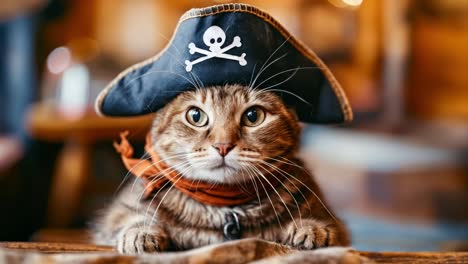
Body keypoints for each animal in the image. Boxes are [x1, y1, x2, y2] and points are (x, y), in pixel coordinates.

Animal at [92, 84, 348, 254]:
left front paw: (311, 229)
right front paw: (141, 233)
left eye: (253, 116)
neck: (227, 208)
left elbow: (328, 227)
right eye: (195, 115)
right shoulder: (119, 210)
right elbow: (126, 219)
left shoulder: (335, 222)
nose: (223, 145)